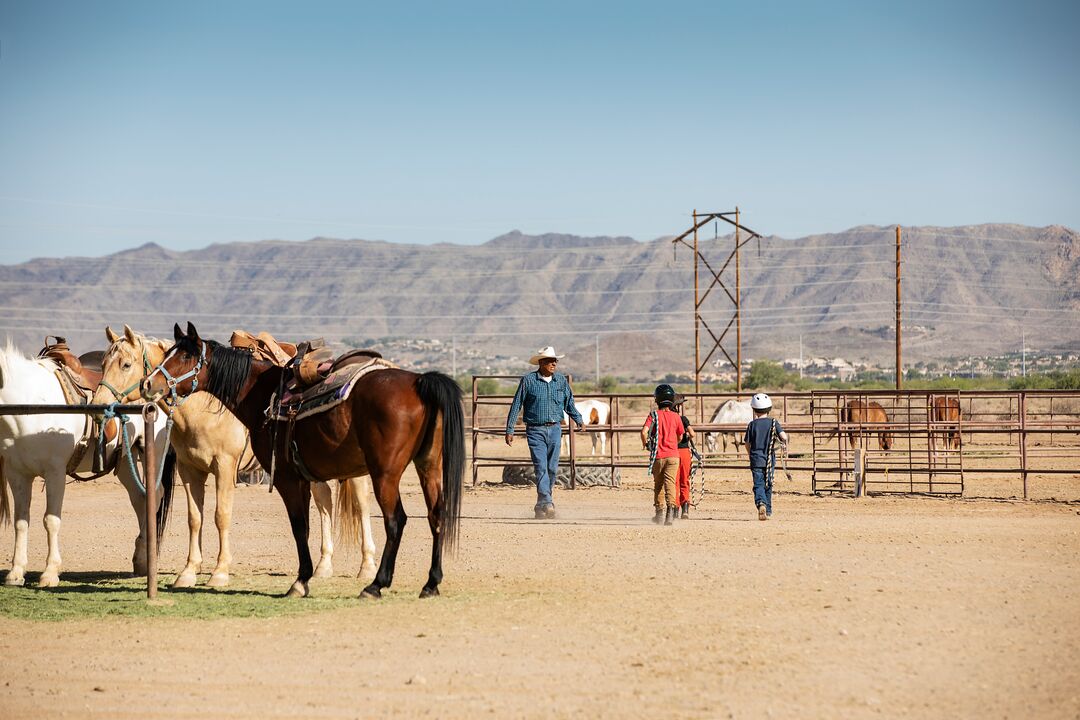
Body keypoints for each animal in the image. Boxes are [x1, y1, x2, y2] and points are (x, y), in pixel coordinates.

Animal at [0, 343, 172, 587]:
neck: (31, 405)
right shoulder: (17, 474)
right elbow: (21, 521)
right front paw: (15, 573)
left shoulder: (55, 472)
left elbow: (51, 520)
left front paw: (50, 573)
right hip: (125, 461)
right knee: (140, 498)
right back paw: (141, 560)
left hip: (152, 453)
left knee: (154, 496)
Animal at [143, 323, 464, 600]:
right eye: (168, 353)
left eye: (185, 356)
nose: (149, 384)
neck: (263, 395)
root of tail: (418, 381)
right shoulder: (300, 478)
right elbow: (308, 524)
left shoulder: (283, 478)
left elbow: (298, 526)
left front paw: (300, 582)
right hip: (428, 467)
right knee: (436, 515)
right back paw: (431, 583)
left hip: (384, 473)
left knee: (395, 520)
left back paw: (375, 584)